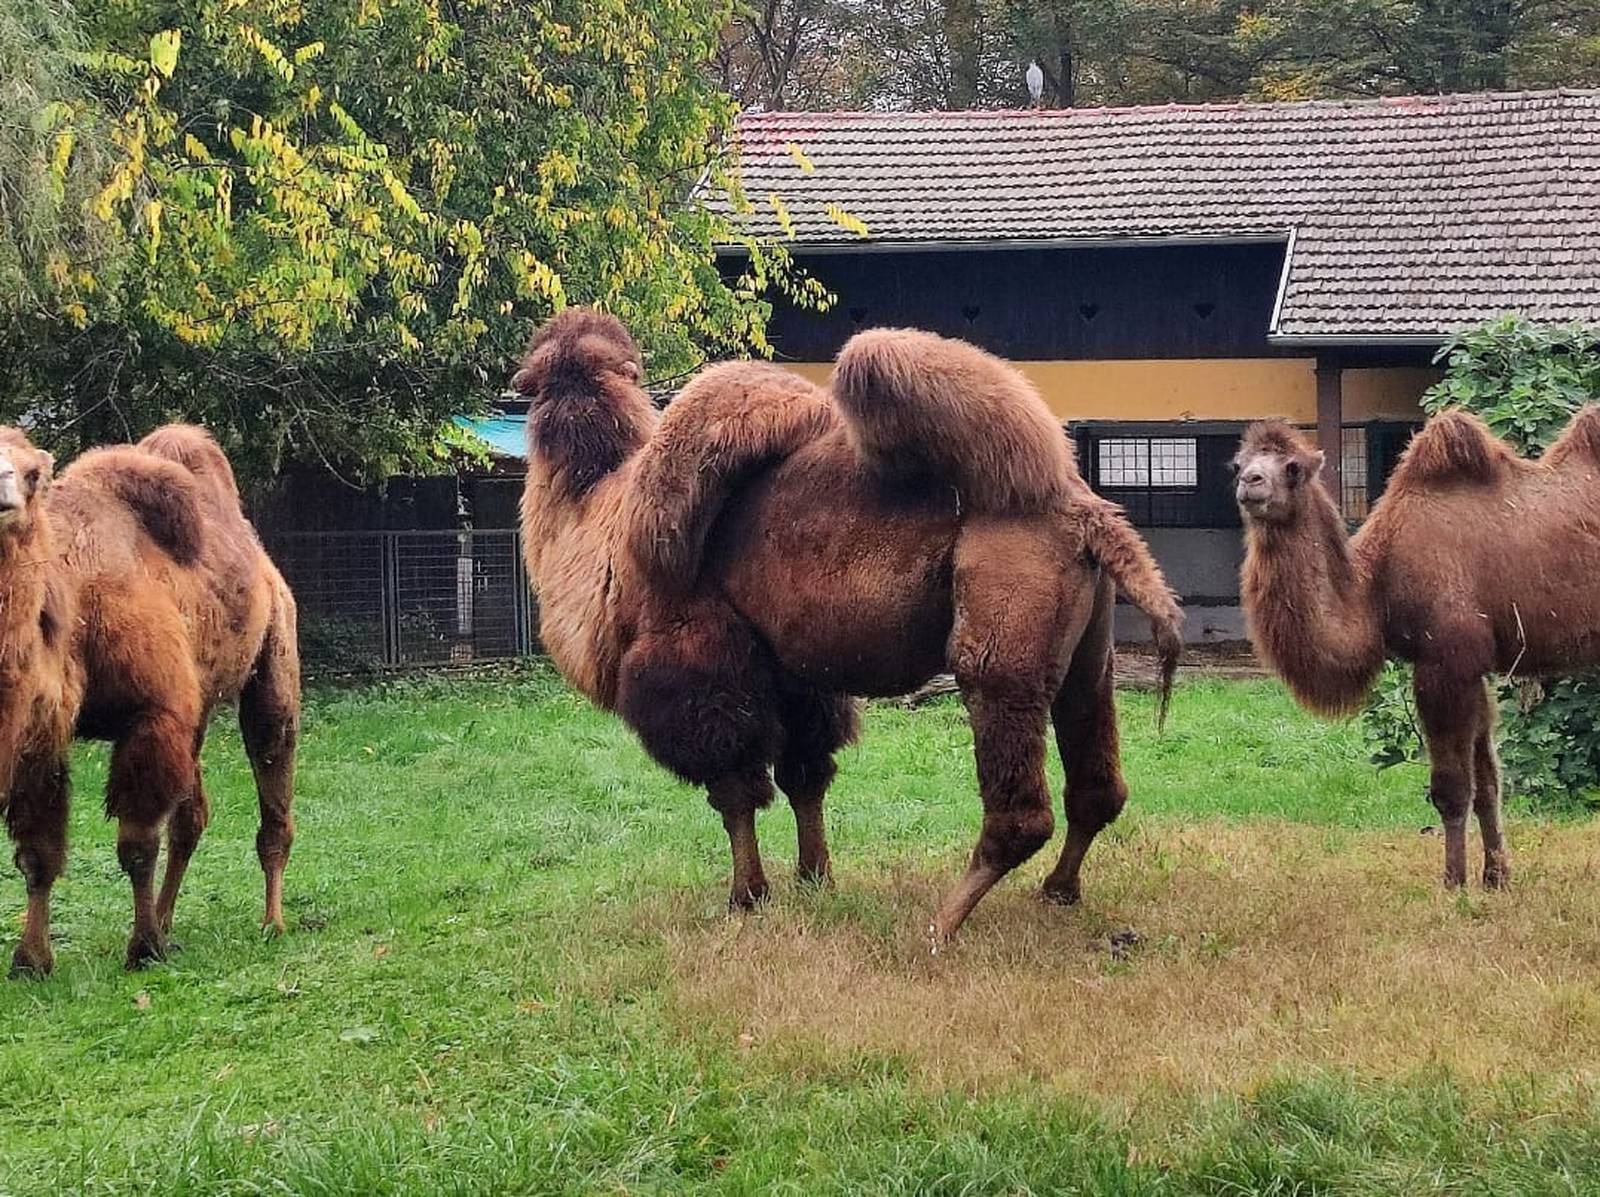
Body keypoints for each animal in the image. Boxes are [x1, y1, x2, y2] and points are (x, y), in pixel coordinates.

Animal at [0, 419, 299, 972]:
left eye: (32, 474)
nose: (2, 490)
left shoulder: (153, 712)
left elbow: (137, 846)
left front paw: (142, 948)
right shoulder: (39, 731)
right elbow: (36, 854)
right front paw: (31, 960)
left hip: (275, 657)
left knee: (272, 778)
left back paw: (272, 921)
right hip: (197, 708)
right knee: (192, 816)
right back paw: (166, 920)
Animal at [518, 310, 1184, 947]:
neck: (597, 514)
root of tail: (1085, 513)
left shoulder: (698, 666)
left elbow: (735, 792)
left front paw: (747, 896)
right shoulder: (794, 674)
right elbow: (804, 776)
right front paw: (815, 878)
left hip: (1001, 641)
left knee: (1020, 809)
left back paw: (942, 924)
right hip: (1087, 652)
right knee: (1096, 781)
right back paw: (1058, 891)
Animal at [1228, 412, 1600, 889]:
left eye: (1292, 468)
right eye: (1238, 465)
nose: (1251, 484)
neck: (1376, 589)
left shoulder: (1444, 662)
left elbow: (1452, 788)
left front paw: (1454, 884)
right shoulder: (1474, 666)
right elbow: (1488, 781)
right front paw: (1496, 878)